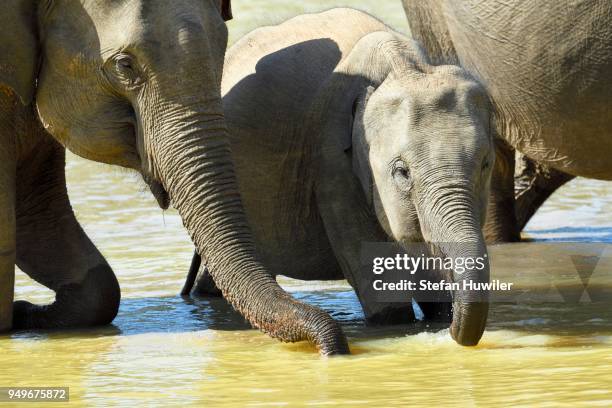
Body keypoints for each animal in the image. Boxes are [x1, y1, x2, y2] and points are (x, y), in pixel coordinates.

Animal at [184, 8, 494, 348]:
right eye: (402, 172)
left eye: (485, 164)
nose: (450, 331)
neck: (405, 67)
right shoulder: (331, 158)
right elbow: (377, 280)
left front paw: (440, 312)